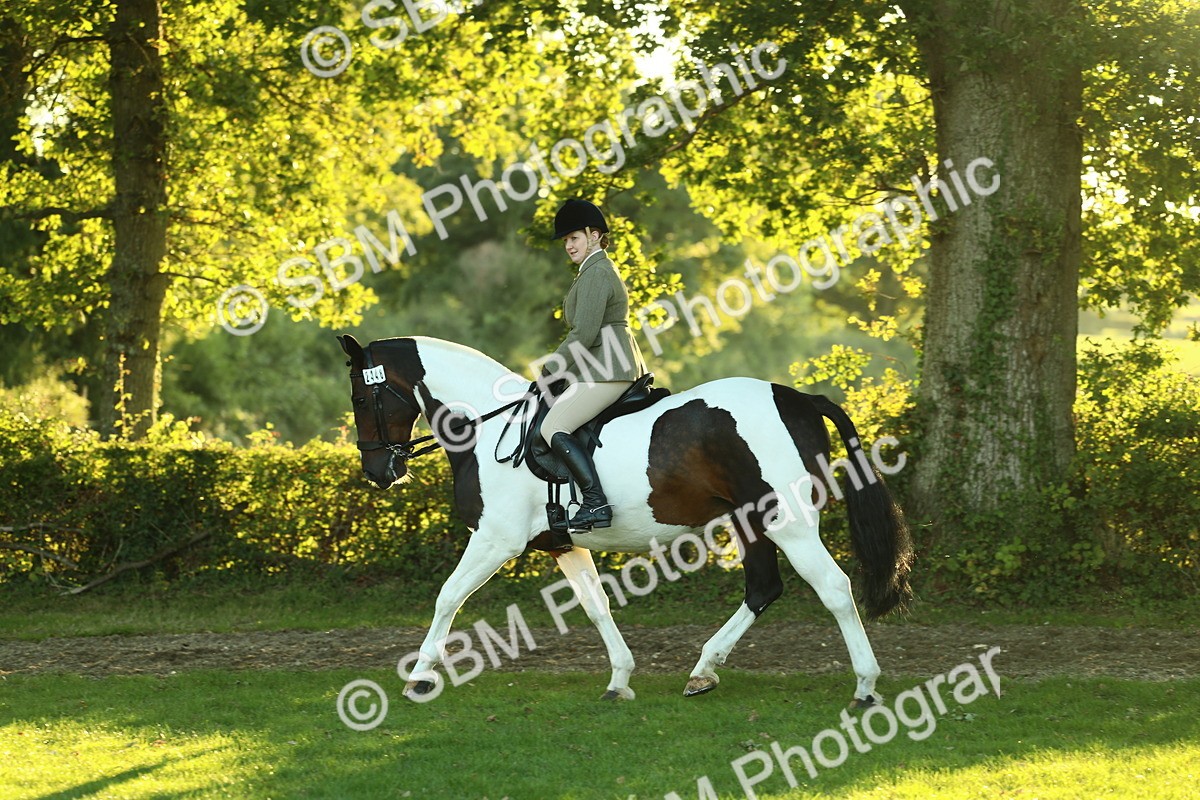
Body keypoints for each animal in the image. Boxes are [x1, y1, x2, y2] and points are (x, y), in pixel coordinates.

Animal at [337, 333, 913, 706]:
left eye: (362, 396)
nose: (378, 471)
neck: (487, 428)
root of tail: (796, 397)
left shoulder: (495, 540)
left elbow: (448, 597)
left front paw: (418, 677)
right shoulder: (562, 543)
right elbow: (596, 607)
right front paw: (619, 679)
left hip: (787, 520)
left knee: (833, 588)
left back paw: (865, 686)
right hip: (751, 521)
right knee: (763, 587)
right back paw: (703, 672)